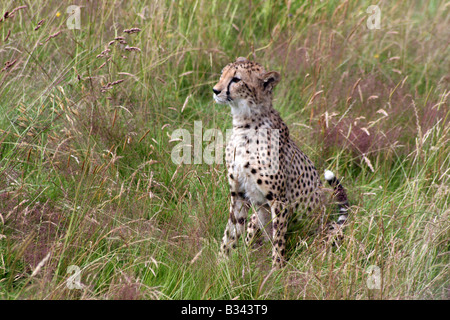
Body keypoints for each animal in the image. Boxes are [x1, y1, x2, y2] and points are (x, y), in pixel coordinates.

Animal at [213, 57, 350, 270]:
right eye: (223, 74)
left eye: (236, 79)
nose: (215, 90)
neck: (244, 124)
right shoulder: (239, 194)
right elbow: (230, 234)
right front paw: (221, 265)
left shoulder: (280, 201)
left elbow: (278, 241)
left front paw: (276, 272)